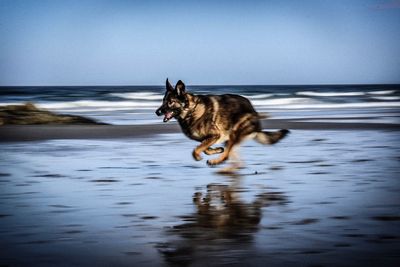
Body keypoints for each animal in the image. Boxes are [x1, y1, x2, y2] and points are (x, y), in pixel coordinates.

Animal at [155, 79, 290, 172]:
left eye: (170, 102)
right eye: (163, 101)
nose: (157, 112)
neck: (191, 110)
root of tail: (254, 112)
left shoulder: (215, 135)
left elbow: (197, 150)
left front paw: (198, 156)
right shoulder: (210, 138)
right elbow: (204, 148)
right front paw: (216, 150)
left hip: (234, 133)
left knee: (227, 156)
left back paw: (216, 163)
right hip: (230, 138)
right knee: (231, 156)